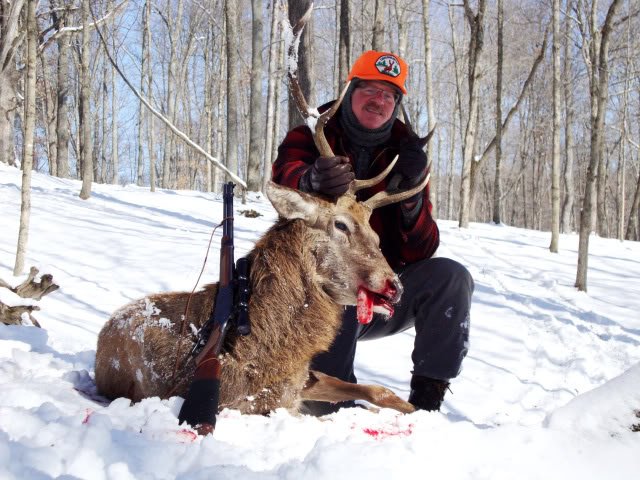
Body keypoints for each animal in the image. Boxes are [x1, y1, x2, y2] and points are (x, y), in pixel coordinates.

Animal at [94, 7, 431, 430]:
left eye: (376, 233)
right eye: (340, 225)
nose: (393, 287)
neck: (275, 346)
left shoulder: (302, 379)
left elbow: (379, 391)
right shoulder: (253, 402)